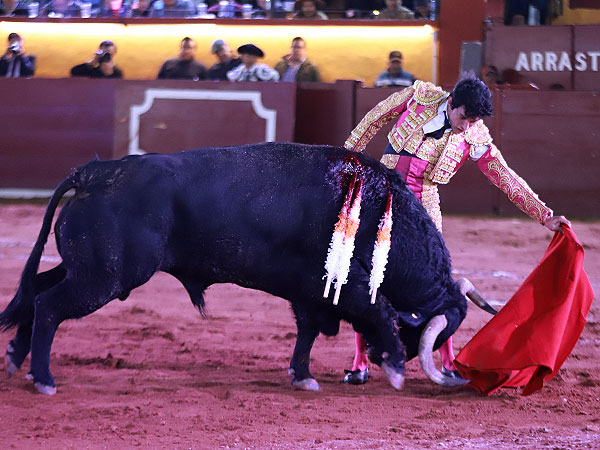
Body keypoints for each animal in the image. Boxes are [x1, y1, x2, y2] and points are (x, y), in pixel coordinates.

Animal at [0, 143, 468, 394]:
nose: (444, 370)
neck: (379, 212)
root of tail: (95, 172)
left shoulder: (308, 294)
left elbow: (308, 331)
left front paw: (302, 376)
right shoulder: (345, 285)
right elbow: (380, 311)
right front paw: (395, 368)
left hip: (87, 269)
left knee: (38, 292)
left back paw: (17, 358)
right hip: (105, 277)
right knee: (49, 306)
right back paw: (43, 377)